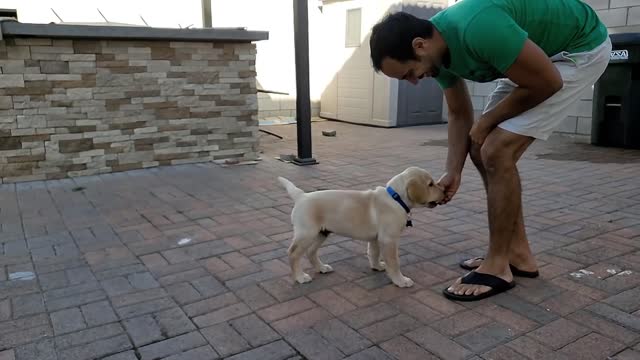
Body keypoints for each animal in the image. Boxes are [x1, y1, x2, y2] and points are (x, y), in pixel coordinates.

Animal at [280, 167, 444, 288]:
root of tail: (301, 196)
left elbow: (374, 253)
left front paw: (377, 266)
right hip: (307, 233)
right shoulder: (389, 239)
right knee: (293, 253)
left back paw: (321, 268)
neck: (396, 198)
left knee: (311, 252)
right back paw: (300, 277)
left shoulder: (377, 238)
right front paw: (400, 280)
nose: (444, 191)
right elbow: (394, 262)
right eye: (430, 184)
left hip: (322, 232)